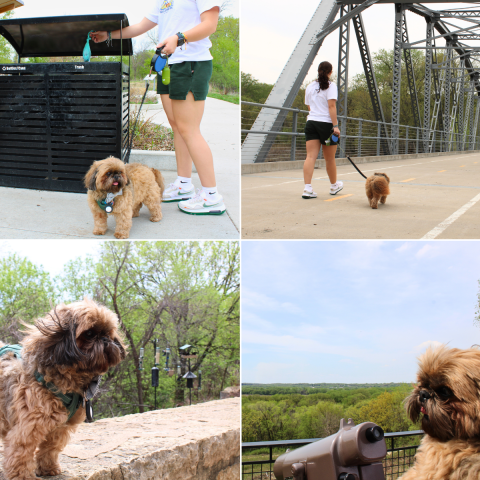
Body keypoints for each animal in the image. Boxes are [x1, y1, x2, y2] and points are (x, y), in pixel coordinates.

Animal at [0, 298, 126, 478]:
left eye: (109, 333)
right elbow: (21, 455)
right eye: (89, 334)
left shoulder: (60, 427)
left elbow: (50, 448)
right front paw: (23, 477)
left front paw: (48, 468)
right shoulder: (27, 429)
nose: (106, 340)